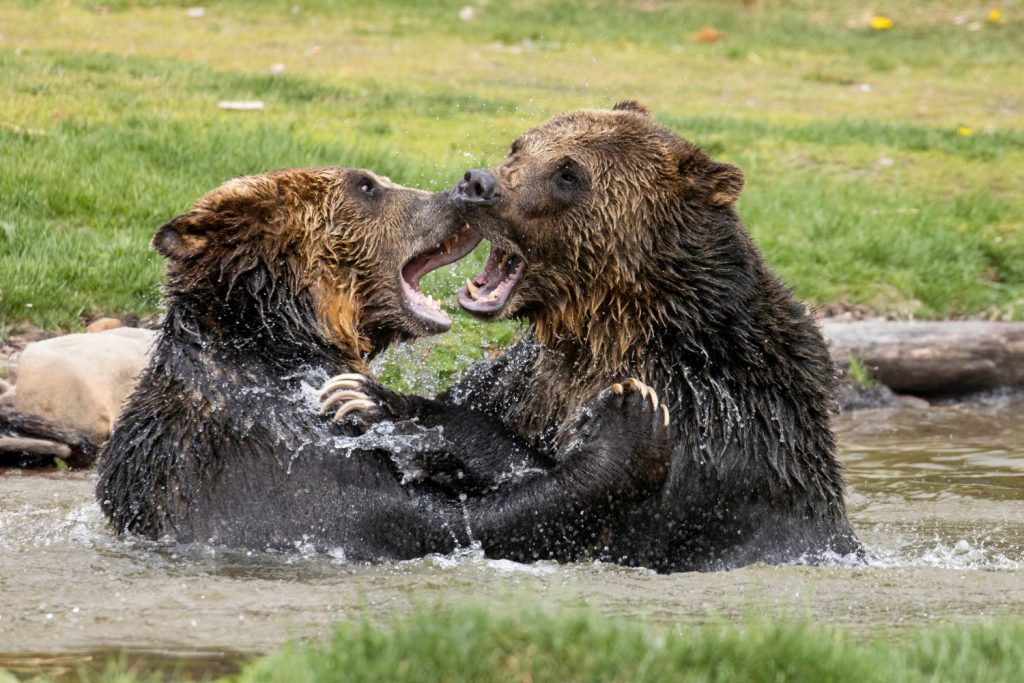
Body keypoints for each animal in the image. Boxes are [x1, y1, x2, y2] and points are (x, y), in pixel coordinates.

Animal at [96, 166, 671, 561]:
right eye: (366, 184)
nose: (461, 188)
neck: (278, 345)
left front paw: (376, 401)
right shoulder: (281, 471)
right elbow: (464, 525)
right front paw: (630, 419)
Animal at [321, 102, 864, 573]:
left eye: (569, 173)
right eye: (520, 144)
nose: (477, 183)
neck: (611, 329)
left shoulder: (715, 424)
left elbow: (571, 503)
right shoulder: (529, 380)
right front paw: (371, 398)